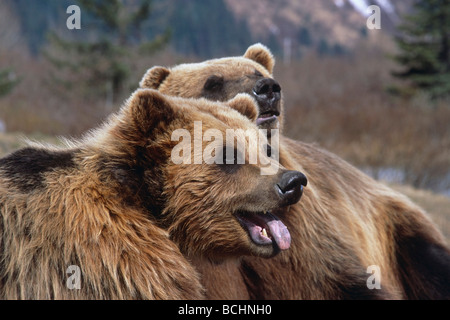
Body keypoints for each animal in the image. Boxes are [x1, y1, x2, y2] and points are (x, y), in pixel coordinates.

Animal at [141, 43, 450, 298]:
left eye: (256, 71)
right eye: (212, 82)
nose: (267, 88)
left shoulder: (307, 233)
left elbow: (345, 280)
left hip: (397, 228)